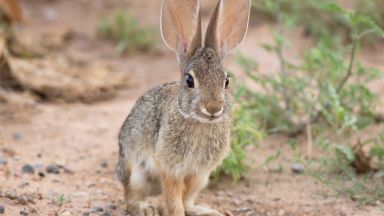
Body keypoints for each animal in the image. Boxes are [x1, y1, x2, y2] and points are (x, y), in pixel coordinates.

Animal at [115, 0, 250, 215]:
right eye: (189, 80)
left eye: (226, 81)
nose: (213, 108)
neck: (198, 122)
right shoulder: (170, 169)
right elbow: (174, 201)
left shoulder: (198, 173)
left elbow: (184, 199)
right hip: (137, 173)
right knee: (130, 196)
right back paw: (146, 208)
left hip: (202, 180)